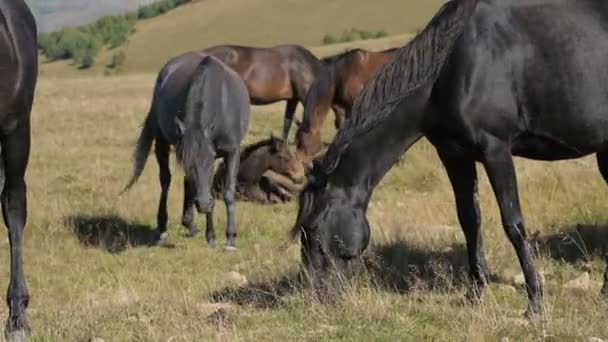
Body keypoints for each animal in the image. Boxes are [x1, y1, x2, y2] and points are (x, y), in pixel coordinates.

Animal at [124, 55, 251, 251]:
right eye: (190, 164)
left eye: (210, 162)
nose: (203, 204)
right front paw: (211, 236)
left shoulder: (232, 152)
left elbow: (228, 192)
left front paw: (230, 239)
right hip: (161, 142)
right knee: (166, 181)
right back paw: (164, 229)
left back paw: (190, 224)